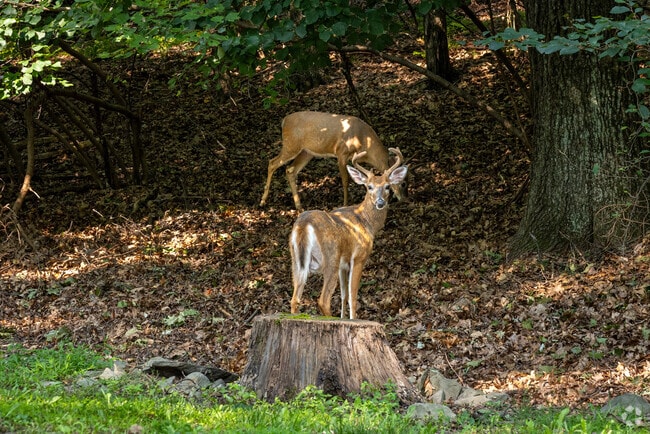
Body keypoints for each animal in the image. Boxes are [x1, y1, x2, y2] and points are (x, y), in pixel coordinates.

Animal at [260, 111, 407, 210]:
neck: (363, 141)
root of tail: (284, 121)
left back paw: (299, 206)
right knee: (272, 163)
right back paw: (263, 201)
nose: (403, 199)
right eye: (400, 183)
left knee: (290, 170)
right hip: (291, 145)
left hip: (306, 152)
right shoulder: (341, 152)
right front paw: (345, 204)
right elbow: (346, 181)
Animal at [289, 147, 408, 319]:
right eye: (369, 186)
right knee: (323, 300)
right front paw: (353, 319)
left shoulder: (343, 265)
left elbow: (344, 295)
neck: (366, 221)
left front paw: (344, 318)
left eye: (387, 186)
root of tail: (304, 224)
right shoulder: (358, 257)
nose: (380, 202)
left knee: (295, 298)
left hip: (296, 260)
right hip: (331, 257)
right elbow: (353, 296)